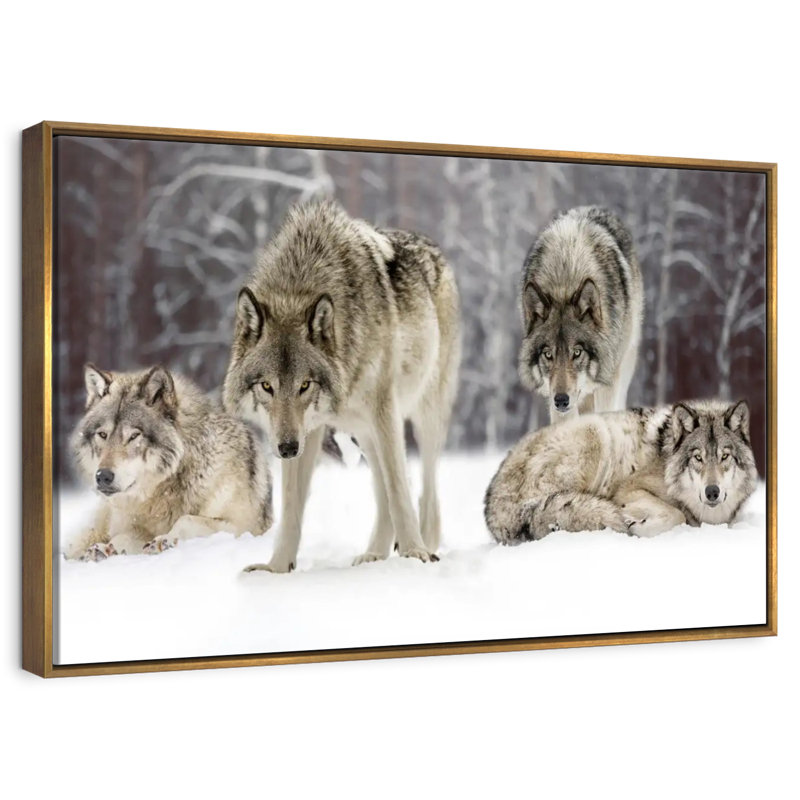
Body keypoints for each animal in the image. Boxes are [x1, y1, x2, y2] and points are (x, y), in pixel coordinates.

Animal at [67, 364, 272, 560]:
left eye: (134, 436)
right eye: (103, 434)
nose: (103, 476)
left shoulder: (244, 527)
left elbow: (185, 520)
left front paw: (163, 540)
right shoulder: (134, 526)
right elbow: (125, 536)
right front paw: (106, 549)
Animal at [223, 200, 461, 572]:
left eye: (305, 384)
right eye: (267, 386)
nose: (287, 449)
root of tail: (433, 247)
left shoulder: (384, 409)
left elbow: (399, 489)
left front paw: (414, 552)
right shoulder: (305, 430)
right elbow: (291, 508)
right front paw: (276, 569)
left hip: (423, 417)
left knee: (424, 492)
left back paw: (423, 545)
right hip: (363, 431)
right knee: (383, 491)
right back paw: (374, 555)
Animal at [484, 399, 757, 544]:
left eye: (724, 456)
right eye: (698, 458)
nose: (712, 492)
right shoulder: (629, 488)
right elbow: (676, 514)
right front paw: (636, 526)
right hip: (595, 431)